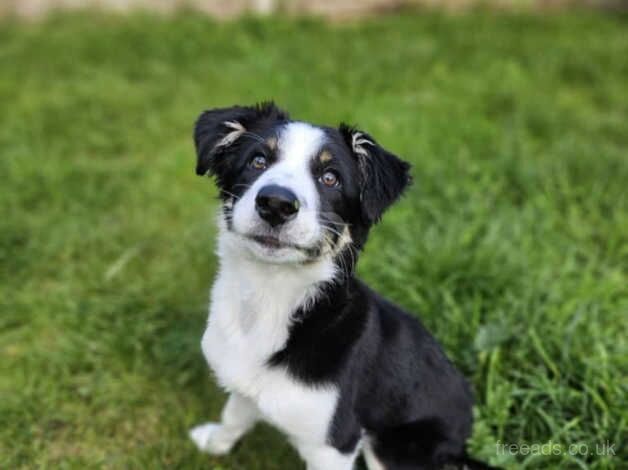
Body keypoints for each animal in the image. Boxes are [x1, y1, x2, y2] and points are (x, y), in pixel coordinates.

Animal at [190, 103, 490, 470]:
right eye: (257, 161)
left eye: (329, 178)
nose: (276, 204)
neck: (270, 298)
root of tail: (462, 446)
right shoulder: (243, 385)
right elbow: (233, 415)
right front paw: (215, 441)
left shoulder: (335, 443)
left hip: (392, 447)